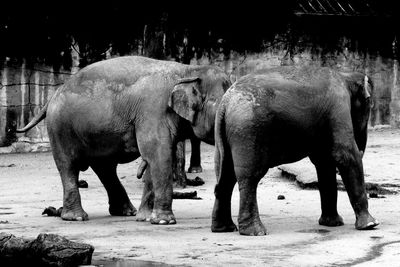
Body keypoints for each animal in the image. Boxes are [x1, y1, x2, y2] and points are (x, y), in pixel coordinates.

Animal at [18, 55, 231, 225]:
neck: (187, 70)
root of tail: (53, 95)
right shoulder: (153, 111)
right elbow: (158, 155)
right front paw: (164, 221)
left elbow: (155, 157)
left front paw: (146, 218)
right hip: (60, 128)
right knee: (68, 165)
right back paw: (76, 217)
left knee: (104, 168)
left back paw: (126, 212)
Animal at [211, 65, 380, 237]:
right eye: (370, 105)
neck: (345, 75)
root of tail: (225, 102)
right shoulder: (338, 106)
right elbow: (345, 155)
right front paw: (371, 224)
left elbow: (324, 161)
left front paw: (333, 223)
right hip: (248, 131)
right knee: (249, 177)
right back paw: (255, 232)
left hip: (226, 134)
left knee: (225, 177)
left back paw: (224, 228)